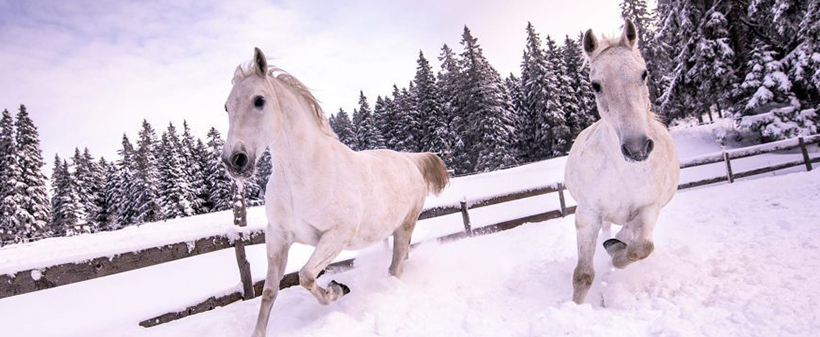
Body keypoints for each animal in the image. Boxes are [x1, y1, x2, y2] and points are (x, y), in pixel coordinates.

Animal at [223, 48, 448, 336]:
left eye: (259, 100)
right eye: (227, 106)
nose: (234, 160)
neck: (302, 177)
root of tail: (410, 160)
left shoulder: (336, 236)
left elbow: (306, 276)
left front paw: (337, 289)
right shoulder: (278, 237)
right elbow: (270, 292)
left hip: (405, 225)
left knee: (395, 267)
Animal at [564, 21, 680, 304]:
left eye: (644, 74)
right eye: (595, 85)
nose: (637, 147)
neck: (625, 172)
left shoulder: (649, 209)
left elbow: (642, 248)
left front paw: (617, 254)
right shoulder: (588, 214)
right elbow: (583, 275)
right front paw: (574, 308)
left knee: (627, 234)